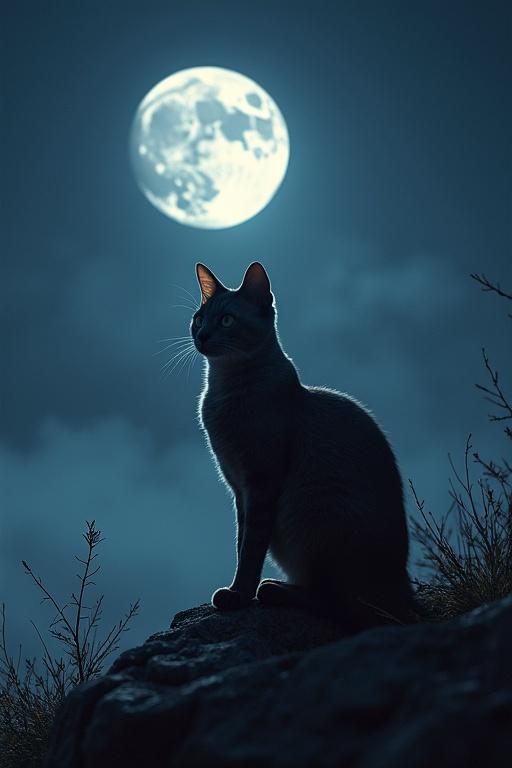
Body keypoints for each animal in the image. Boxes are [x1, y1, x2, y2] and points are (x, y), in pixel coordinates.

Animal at [190, 260, 414, 628]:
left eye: (225, 320)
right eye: (198, 318)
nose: (202, 335)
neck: (222, 390)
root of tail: (405, 589)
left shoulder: (260, 483)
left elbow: (250, 550)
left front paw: (238, 596)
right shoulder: (238, 488)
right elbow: (241, 543)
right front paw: (237, 590)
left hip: (314, 509)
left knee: (340, 604)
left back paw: (273, 589)